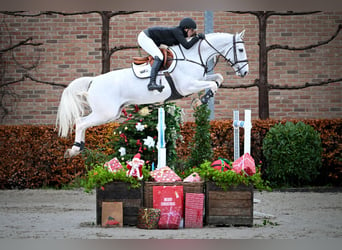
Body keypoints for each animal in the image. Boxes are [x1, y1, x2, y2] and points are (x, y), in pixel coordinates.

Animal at [55, 30, 248, 157]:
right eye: (240, 50)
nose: (245, 72)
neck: (193, 56)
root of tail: (93, 81)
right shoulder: (187, 85)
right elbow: (213, 84)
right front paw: (202, 101)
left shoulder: (201, 78)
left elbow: (218, 78)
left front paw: (203, 98)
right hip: (105, 113)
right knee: (80, 122)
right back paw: (75, 149)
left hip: (111, 113)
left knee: (82, 123)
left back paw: (78, 148)